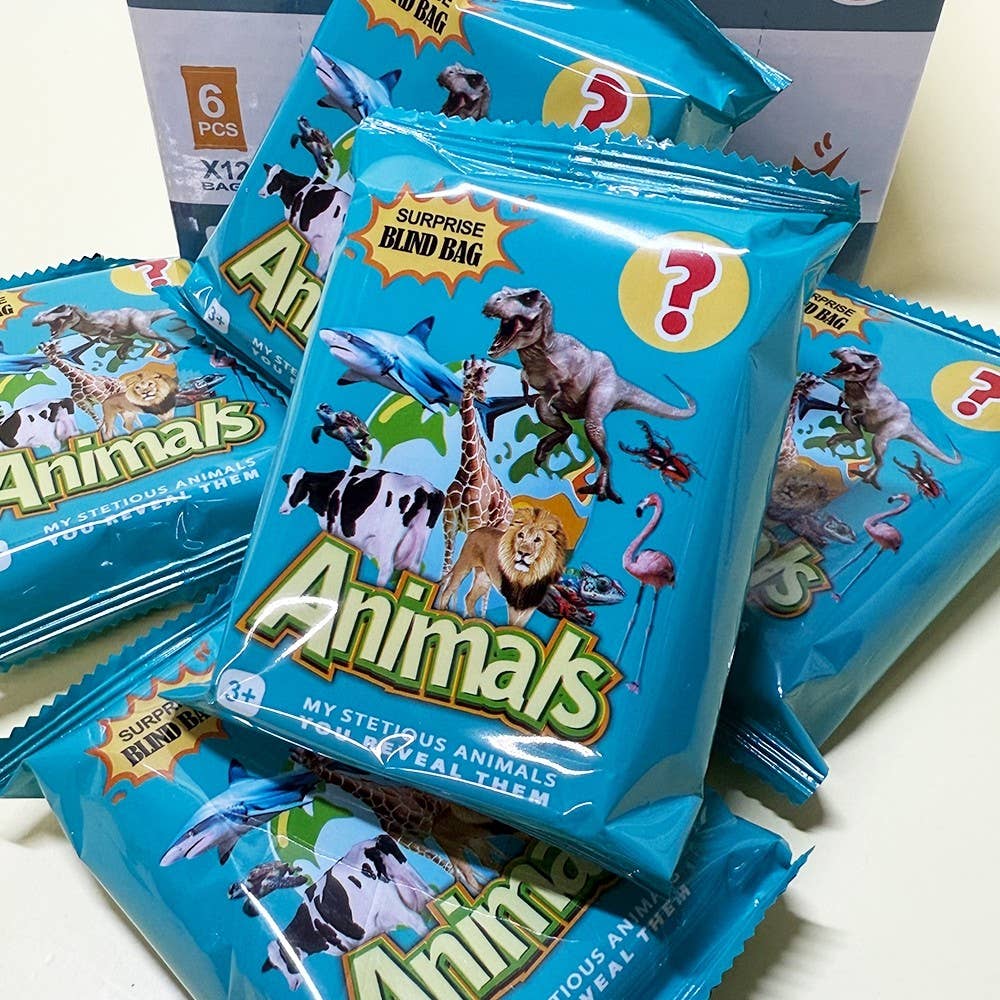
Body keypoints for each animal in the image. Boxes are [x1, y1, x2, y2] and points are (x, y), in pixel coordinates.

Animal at [280, 466, 445, 586]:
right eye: (288, 486)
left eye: (299, 488)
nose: (282, 509)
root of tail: (424, 487)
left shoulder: (331, 528)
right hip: (421, 538)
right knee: (414, 569)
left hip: (388, 540)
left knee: (386, 568)